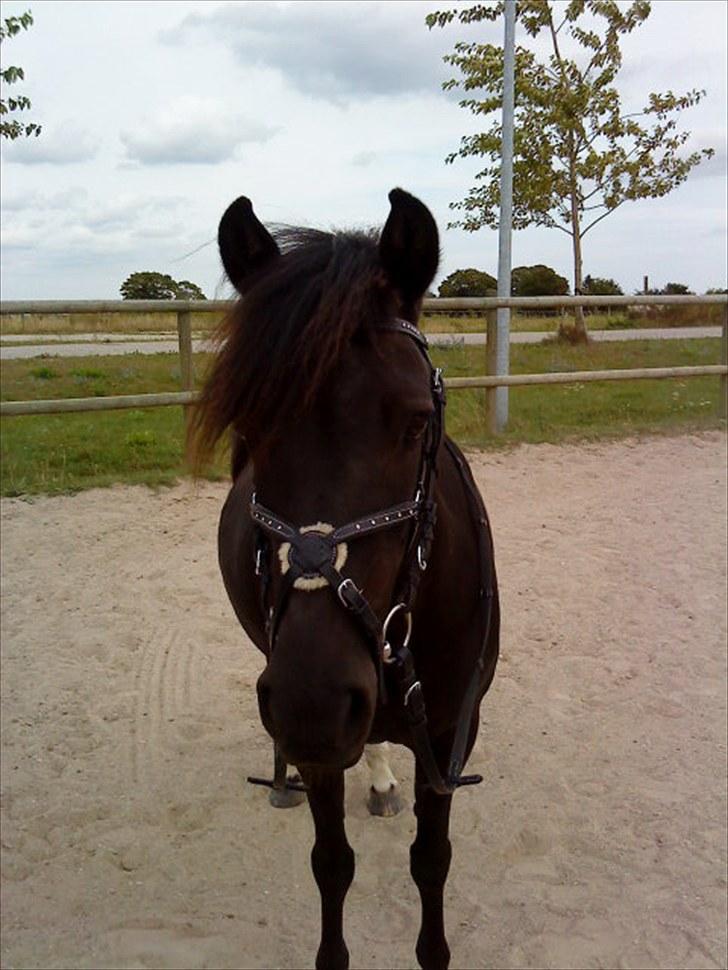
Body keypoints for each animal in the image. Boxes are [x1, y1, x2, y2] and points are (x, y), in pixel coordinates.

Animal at [189, 188, 500, 970]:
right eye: (248, 423)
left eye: (417, 421)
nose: (313, 703)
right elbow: (332, 865)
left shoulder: (449, 732)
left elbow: (431, 860)